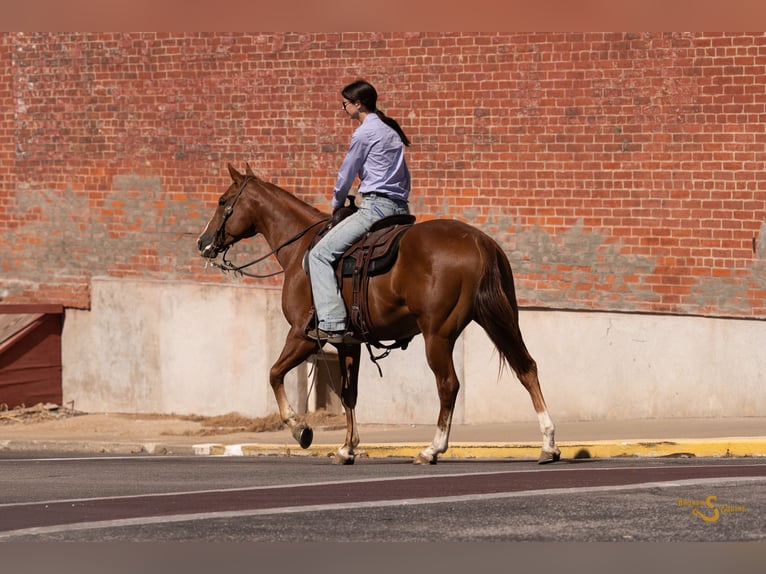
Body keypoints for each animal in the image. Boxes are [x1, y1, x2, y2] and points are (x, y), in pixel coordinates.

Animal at [197, 164, 561, 465]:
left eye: (222, 200)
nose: (203, 242)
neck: (301, 250)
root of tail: (479, 242)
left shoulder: (303, 335)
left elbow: (274, 374)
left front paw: (301, 429)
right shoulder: (348, 343)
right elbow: (349, 394)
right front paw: (346, 448)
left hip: (438, 335)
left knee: (449, 385)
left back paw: (432, 449)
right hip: (499, 320)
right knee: (526, 368)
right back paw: (548, 445)